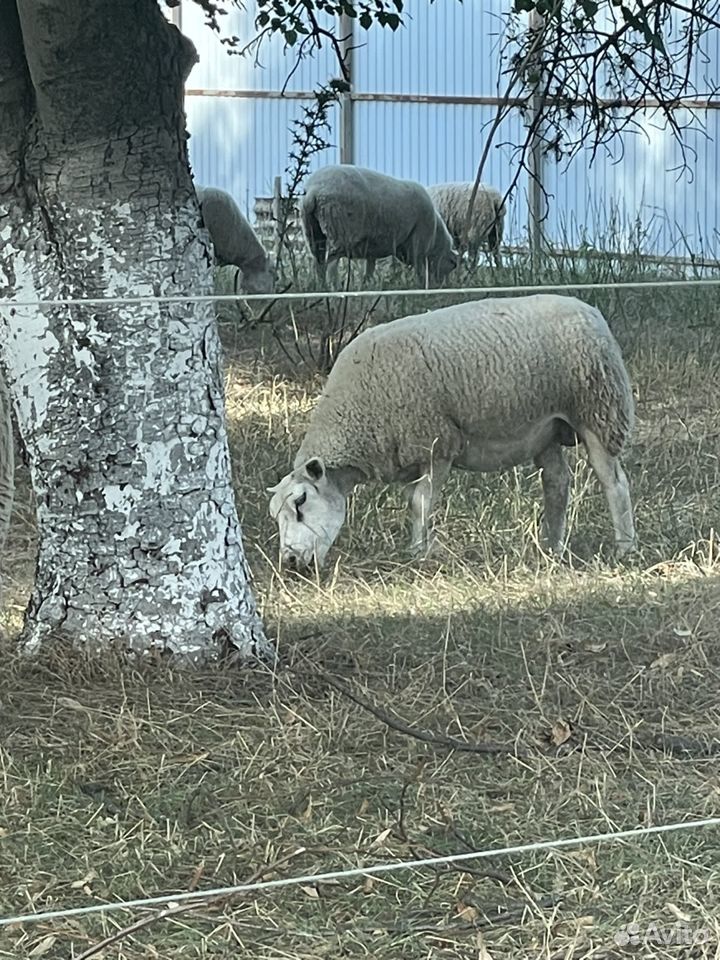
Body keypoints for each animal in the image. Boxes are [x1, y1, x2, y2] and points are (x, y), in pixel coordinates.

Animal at [268, 292, 636, 568]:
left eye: (301, 503)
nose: (291, 563)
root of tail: (590, 310)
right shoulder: (411, 454)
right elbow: (413, 501)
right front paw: (418, 545)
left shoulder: (437, 443)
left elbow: (420, 503)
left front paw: (417, 554)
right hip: (546, 428)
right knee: (557, 482)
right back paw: (552, 546)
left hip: (597, 410)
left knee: (614, 482)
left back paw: (625, 547)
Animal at [300, 165, 458, 286]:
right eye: (451, 266)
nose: (441, 285)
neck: (435, 238)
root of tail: (313, 190)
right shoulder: (418, 245)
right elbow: (420, 270)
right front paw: (421, 286)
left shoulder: (372, 249)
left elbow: (370, 269)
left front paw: (366, 286)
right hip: (339, 230)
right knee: (331, 264)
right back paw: (335, 287)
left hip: (313, 231)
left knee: (318, 262)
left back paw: (321, 287)